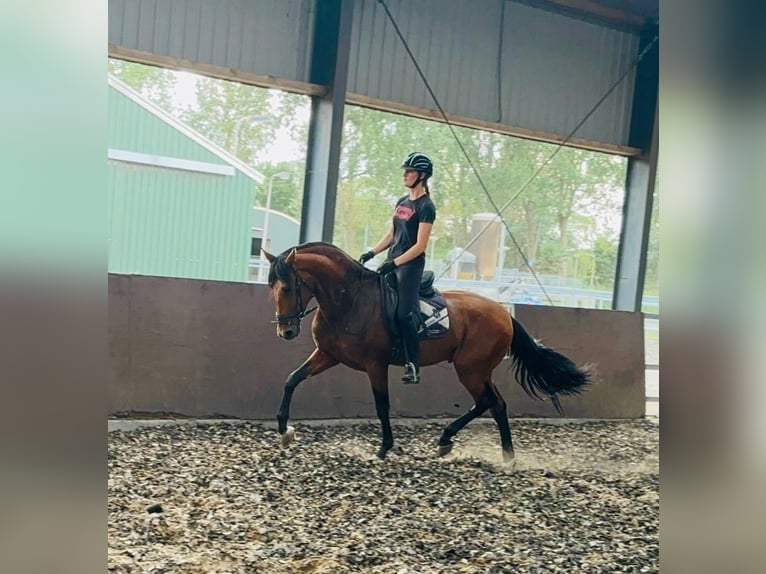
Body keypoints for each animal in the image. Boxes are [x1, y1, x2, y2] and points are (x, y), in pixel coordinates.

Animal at [266, 243, 592, 464]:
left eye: (287, 289)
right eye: (272, 289)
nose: (286, 332)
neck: (351, 301)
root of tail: (504, 314)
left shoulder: (375, 364)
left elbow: (382, 405)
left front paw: (384, 448)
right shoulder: (328, 355)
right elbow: (291, 379)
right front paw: (284, 431)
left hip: (469, 368)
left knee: (487, 401)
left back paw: (449, 439)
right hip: (479, 369)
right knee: (496, 403)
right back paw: (505, 457)